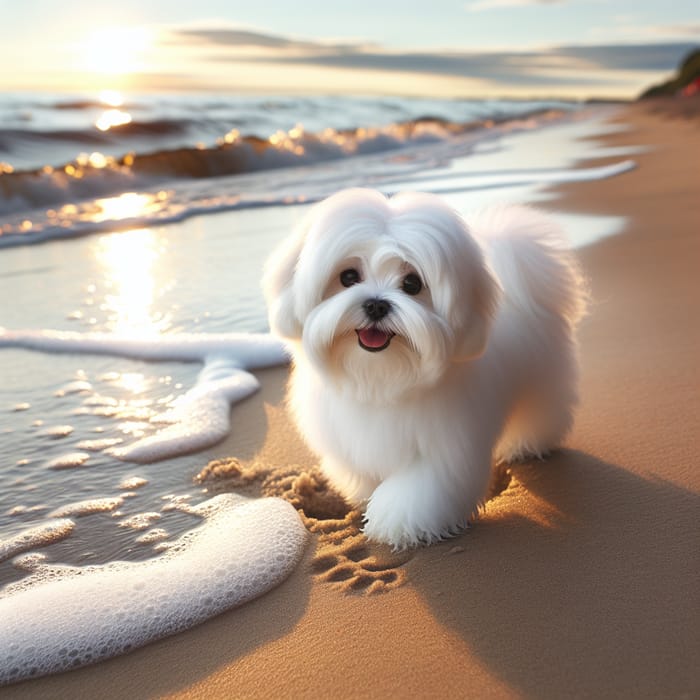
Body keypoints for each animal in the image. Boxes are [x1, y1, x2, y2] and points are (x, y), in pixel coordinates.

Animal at [262, 189, 584, 548]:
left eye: (413, 284)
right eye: (348, 277)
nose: (376, 304)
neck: (379, 377)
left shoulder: (442, 448)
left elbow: (420, 488)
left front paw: (398, 524)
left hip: (544, 377)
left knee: (540, 411)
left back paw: (529, 444)